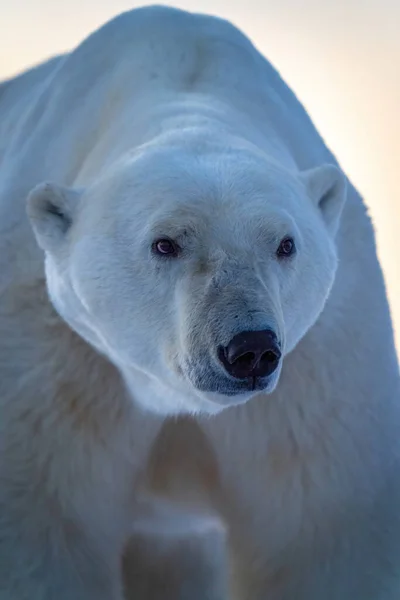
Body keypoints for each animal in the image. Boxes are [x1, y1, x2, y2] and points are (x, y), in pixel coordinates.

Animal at [0, 4, 400, 600]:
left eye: (285, 244)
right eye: (165, 243)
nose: (250, 348)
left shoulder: (322, 369)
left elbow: (320, 532)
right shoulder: (51, 356)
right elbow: (44, 523)